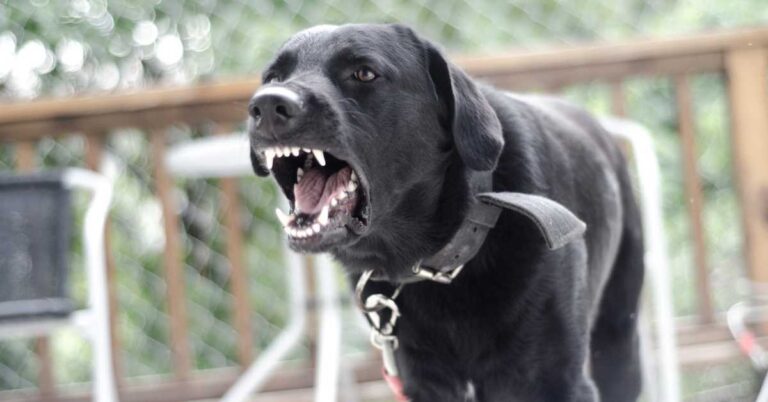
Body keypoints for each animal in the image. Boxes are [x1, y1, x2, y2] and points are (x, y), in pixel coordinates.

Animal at [249, 23, 644, 400]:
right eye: (273, 77)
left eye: (363, 73)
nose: (267, 106)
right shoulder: (423, 383)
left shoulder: (558, 381)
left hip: (618, 344)